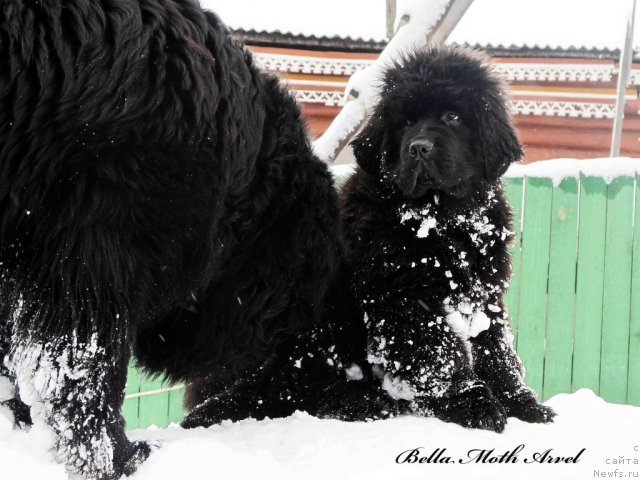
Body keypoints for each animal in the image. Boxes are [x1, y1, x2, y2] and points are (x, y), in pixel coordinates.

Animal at [181, 47, 556, 434]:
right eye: (406, 122)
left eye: (452, 116)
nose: (419, 148)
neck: (440, 218)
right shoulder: (399, 296)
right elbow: (440, 355)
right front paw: (474, 404)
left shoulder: (484, 292)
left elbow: (496, 348)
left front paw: (522, 404)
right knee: (302, 390)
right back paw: (364, 401)